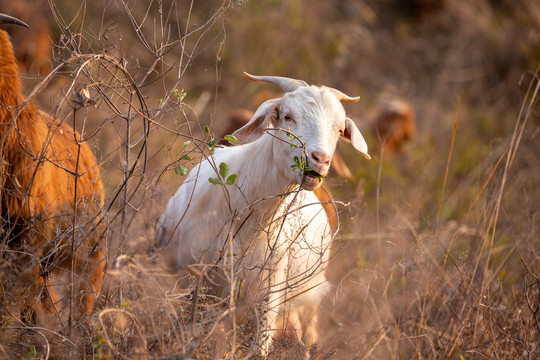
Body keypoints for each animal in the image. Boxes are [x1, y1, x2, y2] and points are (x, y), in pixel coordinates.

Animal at [154, 72, 370, 352]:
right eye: (288, 116)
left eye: (339, 129)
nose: (320, 160)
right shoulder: (187, 279)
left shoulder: (266, 296)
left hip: (309, 295)